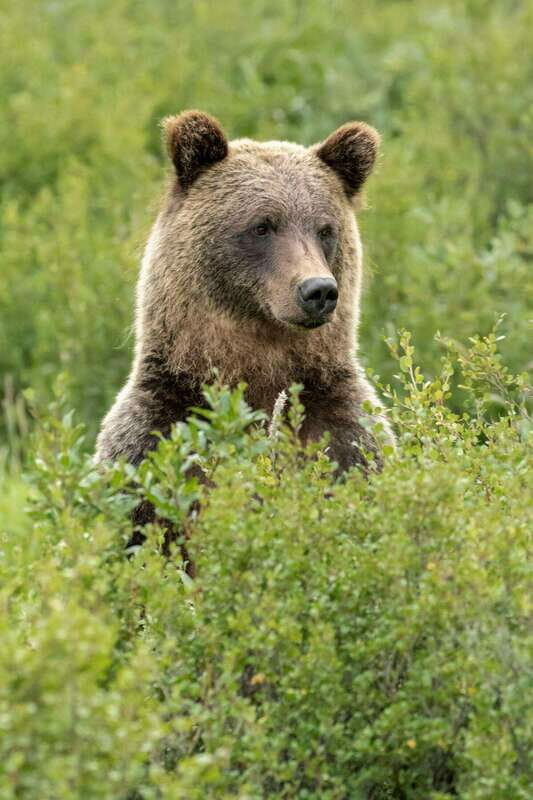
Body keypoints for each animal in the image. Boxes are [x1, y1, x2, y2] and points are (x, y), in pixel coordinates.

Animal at [95, 110, 394, 479]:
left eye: (325, 230)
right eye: (262, 226)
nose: (318, 289)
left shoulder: (344, 425)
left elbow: (356, 455)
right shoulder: (158, 429)